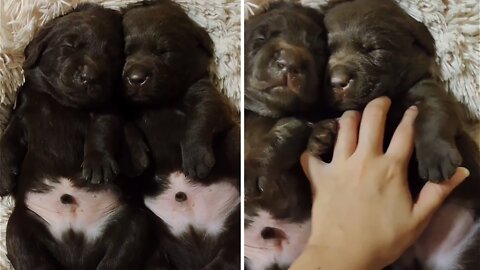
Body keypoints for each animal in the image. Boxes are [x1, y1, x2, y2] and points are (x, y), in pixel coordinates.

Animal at [121, 1, 239, 268]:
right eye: (125, 53)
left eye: (164, 51)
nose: (135, 78)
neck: (159, 103)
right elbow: (124, 123)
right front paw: (135, 157)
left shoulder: (205, 93)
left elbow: (200, 118)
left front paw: (195, 159)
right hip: (157, 250)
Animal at [312, 1, 480, 268]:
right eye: (326, 53)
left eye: (374, 49)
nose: (337, 82)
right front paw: (320, 135)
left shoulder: (430, 93)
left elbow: (432, 117)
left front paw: (435, 157)